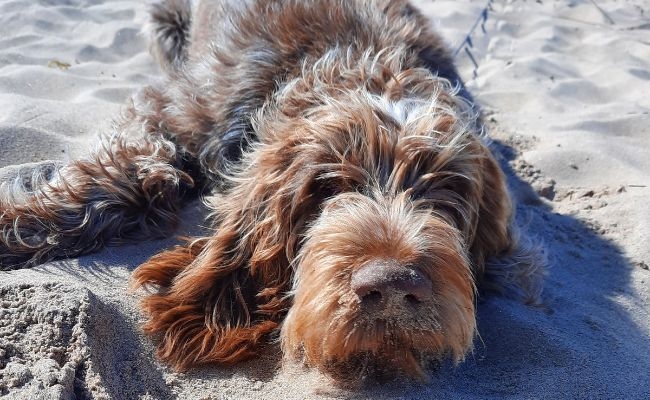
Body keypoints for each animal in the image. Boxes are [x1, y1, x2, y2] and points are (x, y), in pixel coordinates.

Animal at [0, 0, 540, 384]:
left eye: (447, 191)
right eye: (326, 187)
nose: (390, 286)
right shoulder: (173, 110)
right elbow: (131, 177)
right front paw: (13, 225)